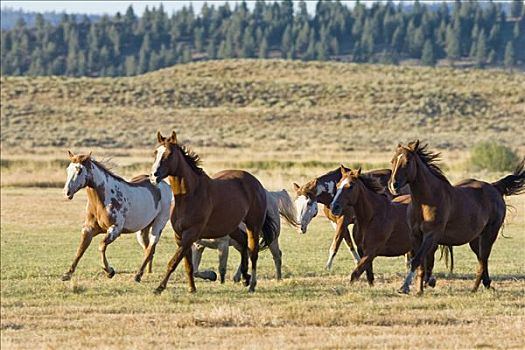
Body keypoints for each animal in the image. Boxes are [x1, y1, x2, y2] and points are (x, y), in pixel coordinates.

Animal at [61, 150, 171, 282]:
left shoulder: (114, 229)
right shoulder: (88, 230)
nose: (67, 192)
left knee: (150, 249)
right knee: (148, 249)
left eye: (79, 170)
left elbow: (101, 246)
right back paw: (147, 272)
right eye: (68, 169)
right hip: (142, 230)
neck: (103, 200)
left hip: (158, 225)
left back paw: (138, 276)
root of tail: (165, 186)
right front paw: (67, 274)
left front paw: (110, 271)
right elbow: (80, 250)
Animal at [150, 131, 278, 292]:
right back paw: (245, 277)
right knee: (243, 242)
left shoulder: (191, 234)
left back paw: (252, 284)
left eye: (170, 154)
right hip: (231, 226)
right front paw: (192, 288)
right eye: (155, 152)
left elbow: (174, 261)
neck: (189, 196)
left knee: (253, 252)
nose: (153, 175)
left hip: (253, 225)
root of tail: (256, 183)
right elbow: (188, 265)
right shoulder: (180, 236)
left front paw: (159, 288)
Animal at [388, 141, 524, 294]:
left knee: (483, 261)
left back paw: (474, 289)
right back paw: (485, 285)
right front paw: (419, 289)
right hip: (475, 239)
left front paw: (406, 288)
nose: (393, 185)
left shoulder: (431, 235)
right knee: (482, 260)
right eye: (393, 161)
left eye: (407, 162)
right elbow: (419, 262)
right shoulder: (416, 236)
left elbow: (417, 260)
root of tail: (494, 187)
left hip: (489, 234)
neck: (426, 201)